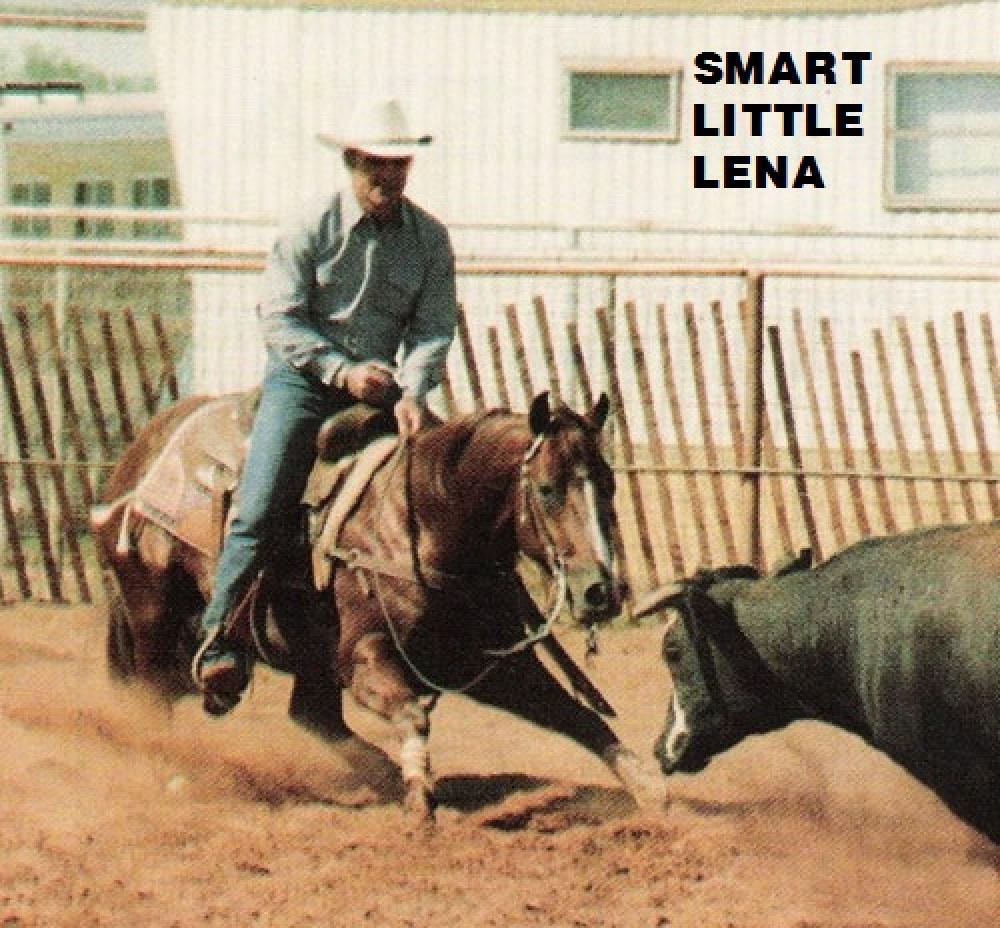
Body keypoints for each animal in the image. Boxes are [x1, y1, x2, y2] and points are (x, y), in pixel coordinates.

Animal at [91, 390, 662, 823]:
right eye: (546, 489)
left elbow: (576, 716)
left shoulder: (485, 665)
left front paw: (650, 788)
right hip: (151, 612)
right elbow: (411, 713)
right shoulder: (363, 656)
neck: (422, 524)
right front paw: (420, 798)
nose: (601, 591)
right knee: (151, 694)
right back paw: (176, 773)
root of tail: (138, 457)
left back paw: (381, 776)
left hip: (308, 656)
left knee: (312, 715)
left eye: (608, 484)